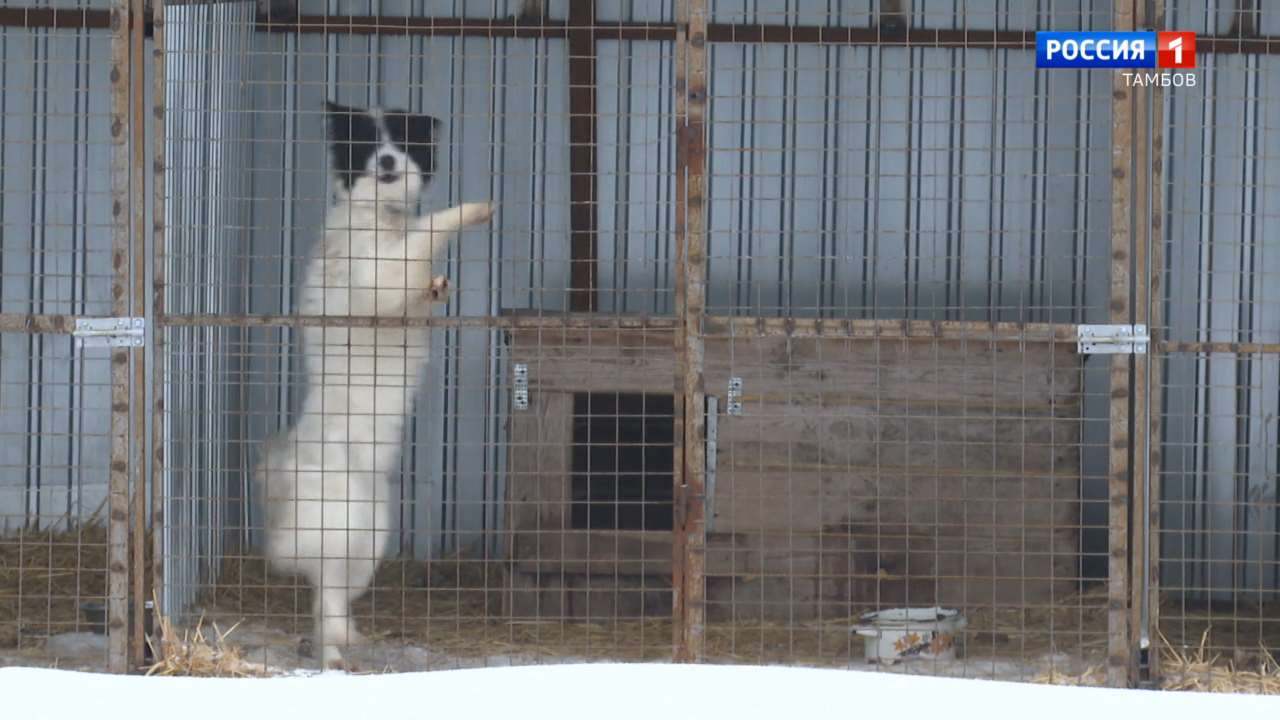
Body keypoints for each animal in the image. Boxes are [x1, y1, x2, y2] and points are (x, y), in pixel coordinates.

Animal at [254, 99, 494, 666]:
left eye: (400, 142)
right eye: (368, 144)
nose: (387, 162)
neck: (380, 216)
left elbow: (423, 282)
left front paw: (438, 286)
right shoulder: (377, 279)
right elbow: (427, 231)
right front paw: (474, 209)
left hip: (372, 538)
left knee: (331, 592)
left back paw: (348, 639)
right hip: (338, 524)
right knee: (322, 594)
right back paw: (331, 653)